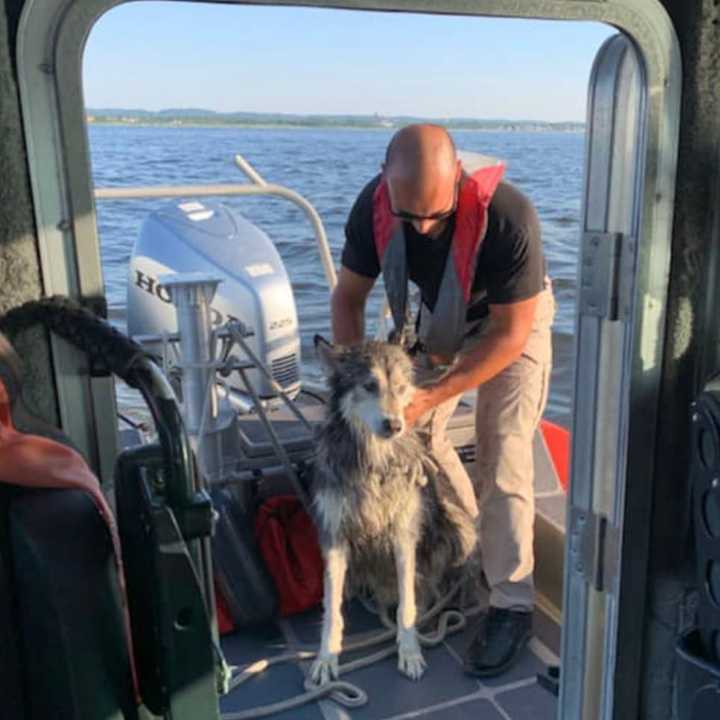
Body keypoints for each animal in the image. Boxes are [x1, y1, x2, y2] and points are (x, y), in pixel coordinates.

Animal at [310, 338, 478, 688]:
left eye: (401, 388)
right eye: (369, 386)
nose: (395, 425)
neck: (374, 462)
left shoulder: (404, 535)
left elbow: (407, 605)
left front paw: (410, 650)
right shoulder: (334, 538)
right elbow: (331, 609)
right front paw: (326, 657)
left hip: (460, 527)